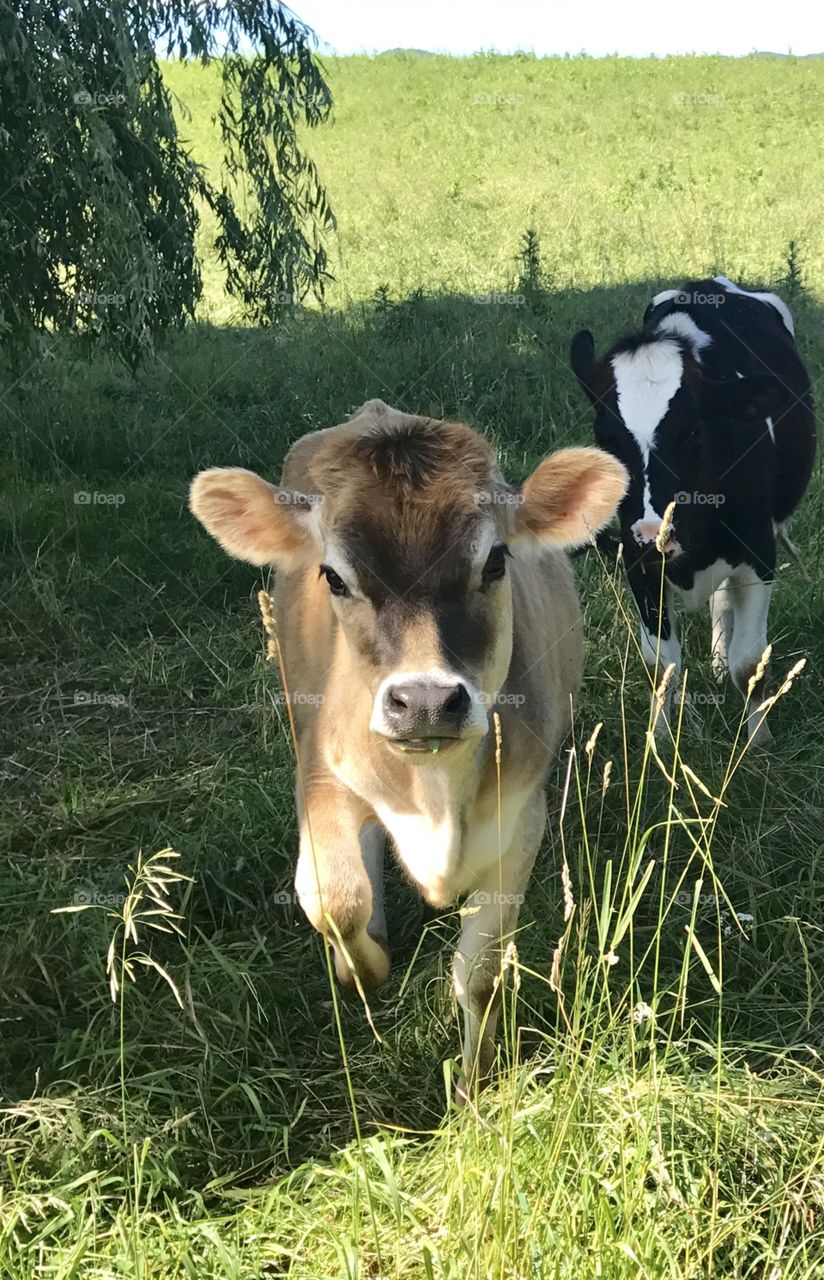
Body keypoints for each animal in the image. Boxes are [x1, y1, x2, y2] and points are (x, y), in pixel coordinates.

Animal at [189, 400, 627, 1096]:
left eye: (495, 561)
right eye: (334, 577)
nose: (424, 701)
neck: (437, 796)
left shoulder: (522, 817)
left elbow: (481, 975)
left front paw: (473, 1088)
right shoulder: (321, 777)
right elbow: (335, 900)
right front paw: (362, 970)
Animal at [570, 276, 816, 745]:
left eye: (691, 433)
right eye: (608, 438)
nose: (653, 534)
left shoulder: (759, 554)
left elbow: (749, 661)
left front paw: (757, 739)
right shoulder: (639, 563)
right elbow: (660, 663)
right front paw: (660, 737)